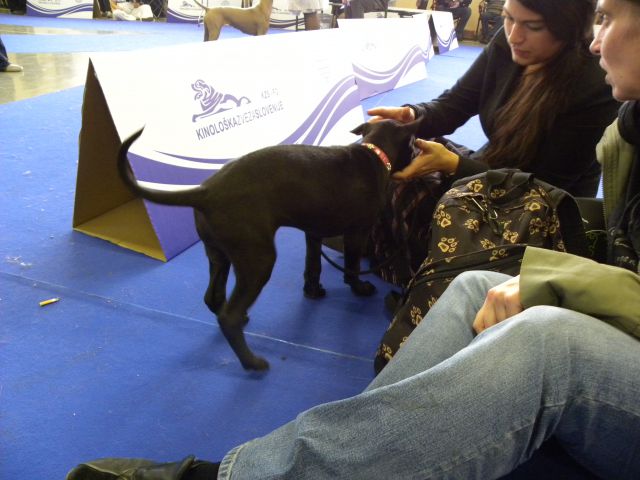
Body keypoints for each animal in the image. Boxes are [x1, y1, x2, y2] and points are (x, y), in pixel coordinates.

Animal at [119, 120, 420, 372]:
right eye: (413, 143)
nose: (419, 152)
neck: (374, 153)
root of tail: (205, 192)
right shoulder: (356, 232)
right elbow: (352, 266)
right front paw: (359, 288)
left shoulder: (313, 232)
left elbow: (312, 266)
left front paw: (313, 291)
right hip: (259, 260)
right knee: (228, 316)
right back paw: (252, 363)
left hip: (220, 255)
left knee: (214, 299)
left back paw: (240, 322)